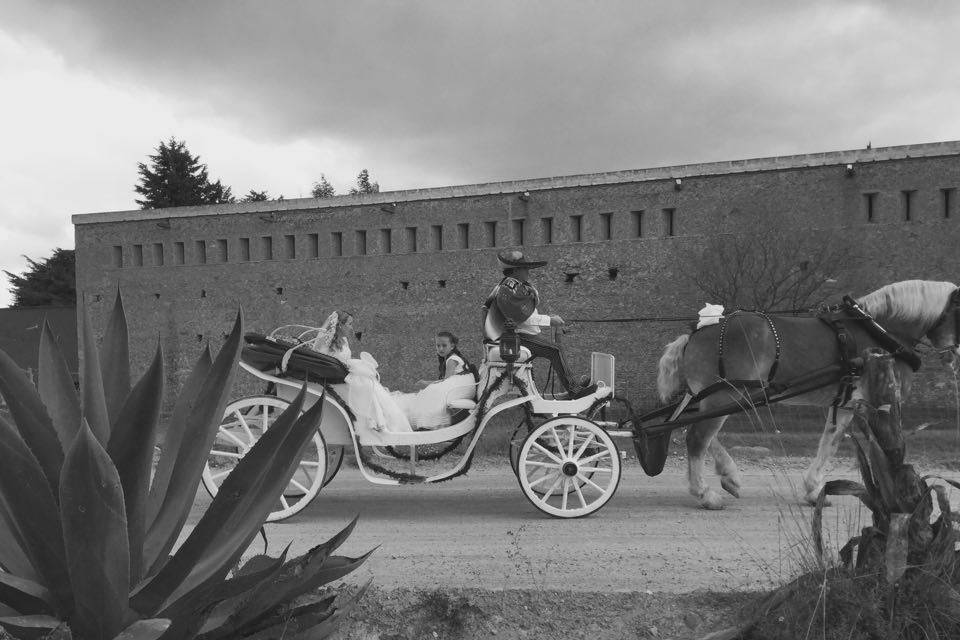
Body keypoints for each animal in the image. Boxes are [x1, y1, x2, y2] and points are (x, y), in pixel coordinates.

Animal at [656, 280, 956, 510]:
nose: (954, 354)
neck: (881, 331)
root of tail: (698, 332)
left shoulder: (846, 403)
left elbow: (830, 441)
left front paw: (813, 490)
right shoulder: (883, 401)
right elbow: (890, 449)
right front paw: (903, 496)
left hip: (713, 396)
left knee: (692, 430)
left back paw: (729, 476)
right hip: (726, 395)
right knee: (697, 437)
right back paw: (705, 494)